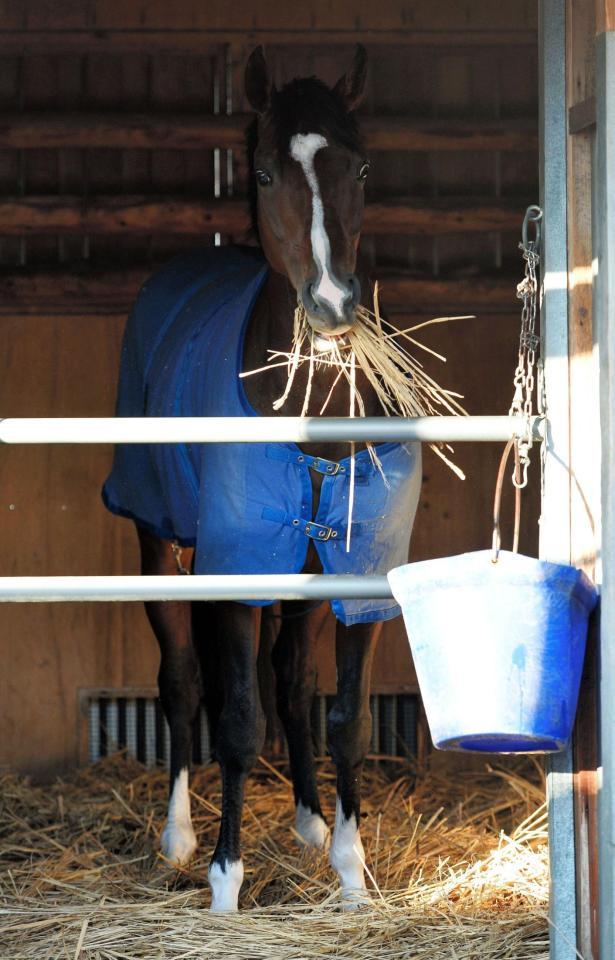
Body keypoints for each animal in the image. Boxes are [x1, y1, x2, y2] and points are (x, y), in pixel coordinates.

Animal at [104, 45, 424, 912]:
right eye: (263, 173)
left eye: (363, 166)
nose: (333, 304)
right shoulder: (235, 565)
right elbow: (238, 722)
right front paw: (225, 879)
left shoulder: (357, 570)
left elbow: (343, 716)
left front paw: (350, 871)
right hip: (160, 544)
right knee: (184, 683)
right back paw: (177, 837)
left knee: (291, 678)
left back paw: (310, 821)